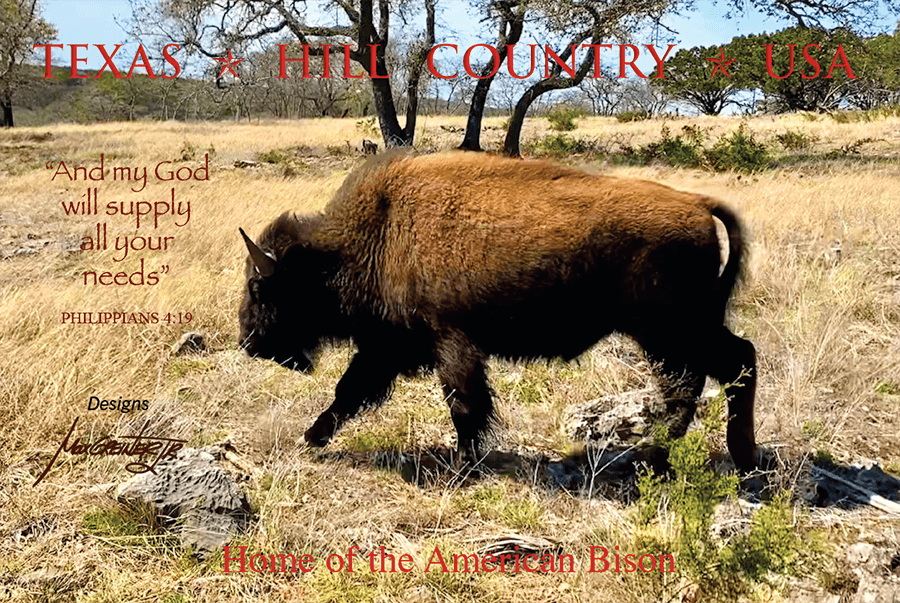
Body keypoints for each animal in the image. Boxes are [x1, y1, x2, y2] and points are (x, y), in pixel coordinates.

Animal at [241, 151, 760, 472]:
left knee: (708, 377)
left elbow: (463, 404)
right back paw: (715, 456)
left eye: (259, 285)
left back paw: (675, 456)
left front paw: (462, 464)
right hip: (684, 329)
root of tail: (698, 204)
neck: (378, 232)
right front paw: (313, 437)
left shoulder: (449, 342)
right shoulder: (389, 347)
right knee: (719, 370)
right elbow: (350, 391)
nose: (249, 342)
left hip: (667, 331)